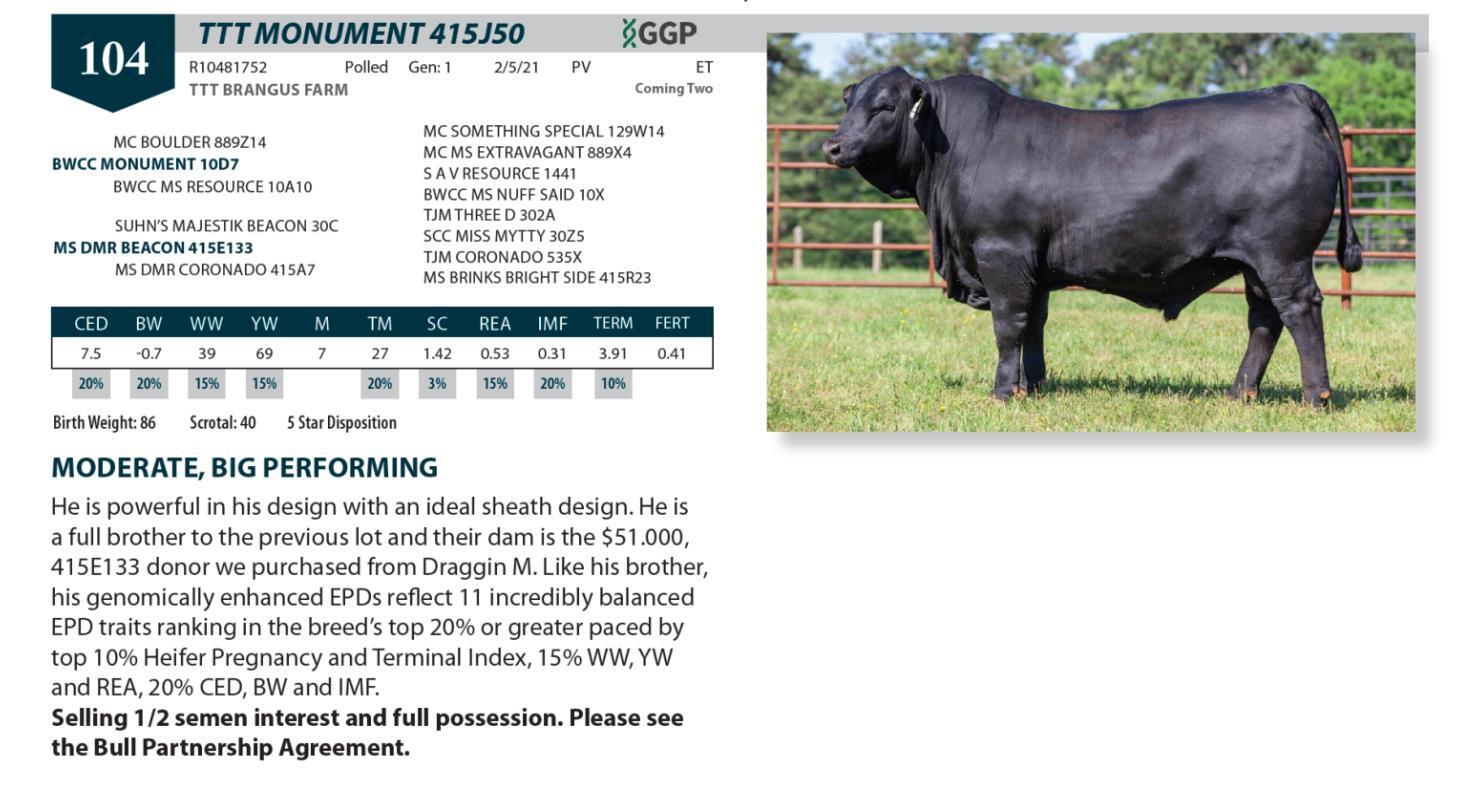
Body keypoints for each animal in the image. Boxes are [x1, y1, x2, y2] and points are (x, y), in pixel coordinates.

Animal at [823, 67, 1363, 406]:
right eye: (849, 101)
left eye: (885, 106)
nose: (833, 145)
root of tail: (1286, 92)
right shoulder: (1033, 266)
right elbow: (1034, 324)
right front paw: (1033, 387)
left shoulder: (1002, 253)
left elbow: (1009, 324)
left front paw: (1002, 392)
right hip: (1256, 263)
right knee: (1264, 319)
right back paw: (1239, 393)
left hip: (1282, 255)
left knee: (1299, 310)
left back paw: (1315, 397)